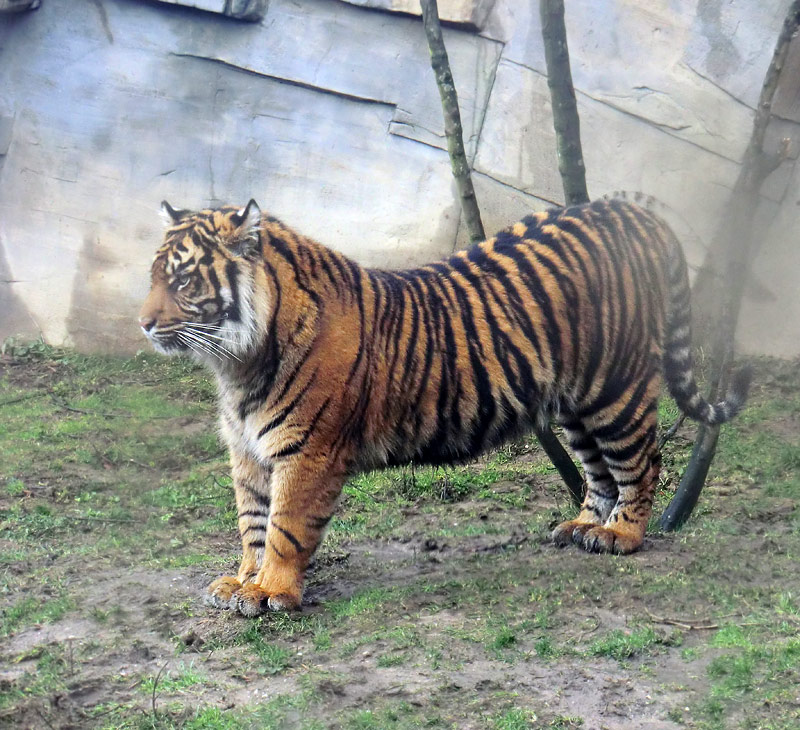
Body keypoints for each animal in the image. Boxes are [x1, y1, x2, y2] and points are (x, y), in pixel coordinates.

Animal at [139, 195, 752, 616]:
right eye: (154, 276)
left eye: (185, 280)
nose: (143, 324)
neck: (238, 363)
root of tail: (628, 209)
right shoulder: (247, 453)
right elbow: (252, 523)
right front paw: (242, 581)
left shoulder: (307, 452)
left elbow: (285, 527)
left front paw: (271, 592)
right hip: (573, 403)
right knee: (599, 472)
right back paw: (584, 527)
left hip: (615, 388)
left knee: (641, 463)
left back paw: (623, 536)